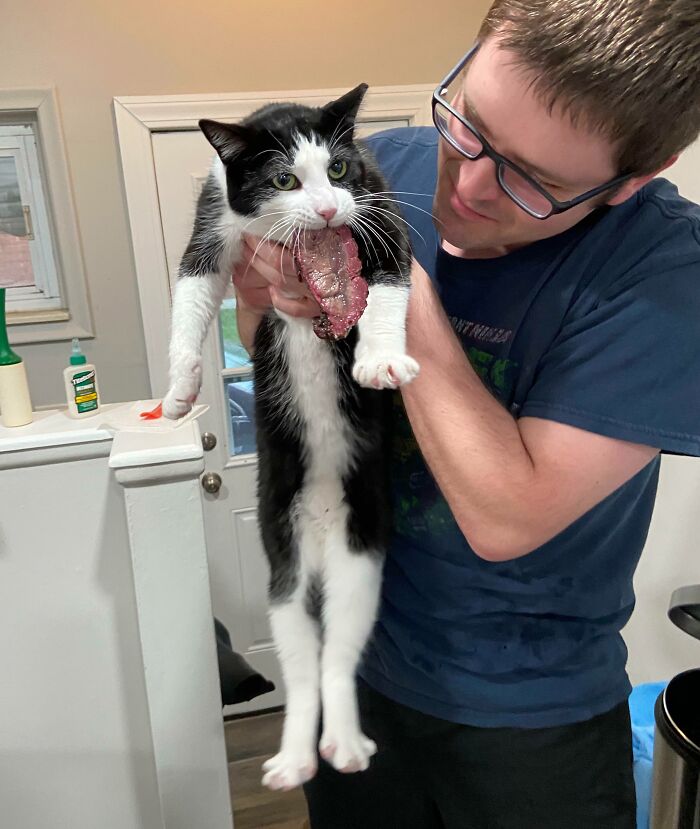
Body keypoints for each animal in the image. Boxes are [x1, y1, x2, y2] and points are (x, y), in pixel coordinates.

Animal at [161, 85, 418, 788]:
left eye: (338, 168)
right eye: (282, 180)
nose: (328, 210)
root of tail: (325, 535)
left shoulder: (377, 202)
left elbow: (391, 280)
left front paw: (381, 359)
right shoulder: (216, 208)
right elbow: (191, 289)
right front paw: (180, 387)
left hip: (362, 555)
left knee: (338, 657)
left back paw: (345, 744)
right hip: (282, 558)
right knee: (302, 664)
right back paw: (296, 756)